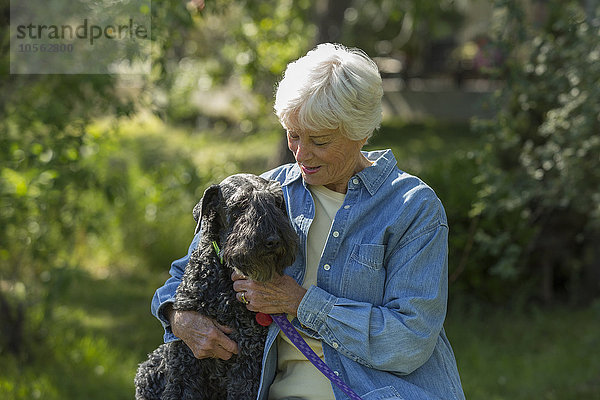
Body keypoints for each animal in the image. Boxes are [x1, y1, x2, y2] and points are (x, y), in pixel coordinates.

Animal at [134, 174, 298, 400]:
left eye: (276, 202)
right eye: (241, 204)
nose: (273, 240)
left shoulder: (248, 359)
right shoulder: (187, 354)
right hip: (152, 368)